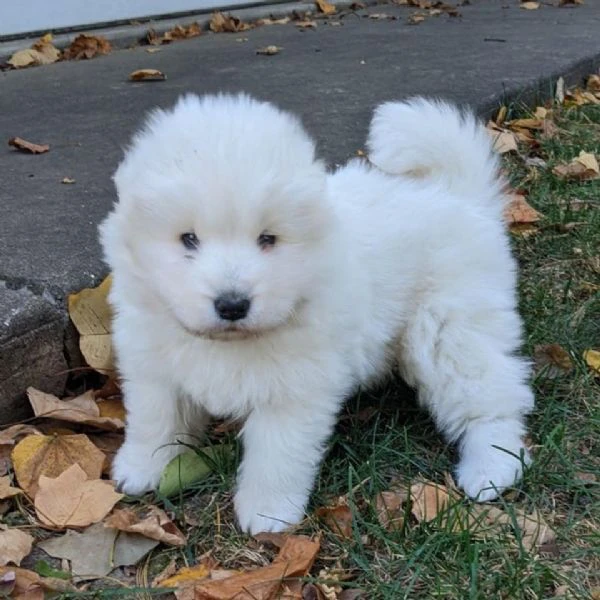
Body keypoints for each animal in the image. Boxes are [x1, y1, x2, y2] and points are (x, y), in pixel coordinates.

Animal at [99, 92, 536, 536]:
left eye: (268, 239)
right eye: (188, 239)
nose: (232, 304)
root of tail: (457, 195)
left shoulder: (294, 389)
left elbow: (276, 454)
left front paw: (268, 512)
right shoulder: (154, 366)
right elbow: (156, 420)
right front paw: (140, 468)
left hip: (451, 326)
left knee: (491, 396)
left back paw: (491, 467)